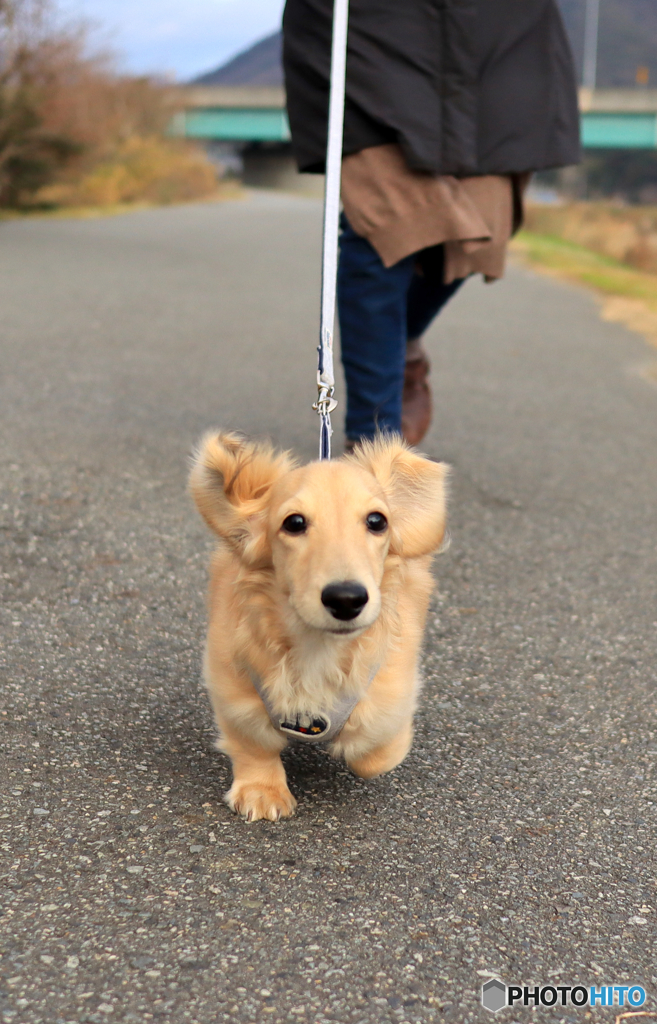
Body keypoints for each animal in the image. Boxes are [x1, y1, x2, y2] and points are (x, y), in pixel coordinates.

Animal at [189, 434, 446, 823]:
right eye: (294, 522)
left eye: (377, 521)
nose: (346, 598)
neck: (317, 647)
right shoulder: (232, 686)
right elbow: (253, 742)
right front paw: (261, 791)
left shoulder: (390, 697)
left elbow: (374, 753)